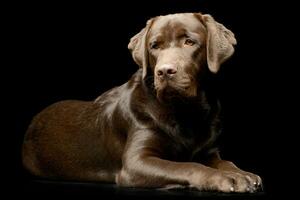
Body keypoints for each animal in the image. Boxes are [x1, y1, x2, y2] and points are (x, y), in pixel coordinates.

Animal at [22, 12, 262, 192]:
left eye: (189, 42)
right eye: (154, 46)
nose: (164, 71)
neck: (184, 112)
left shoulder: (209, 152)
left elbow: (226, 163)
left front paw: (243, 174)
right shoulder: (136, 162)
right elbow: (188, 165)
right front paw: (225, 178)